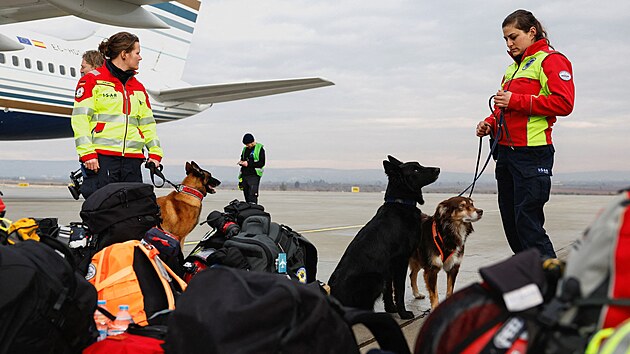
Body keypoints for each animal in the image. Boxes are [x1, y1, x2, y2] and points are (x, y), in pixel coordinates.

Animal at [330, 155, 440, 318]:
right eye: (415, 169)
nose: (438, 169)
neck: (401, 203)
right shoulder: (400, 260)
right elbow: (399, 290)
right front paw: (403, 313)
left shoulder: (388, 266)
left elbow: (388, 290)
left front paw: (391, 308)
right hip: (374, 278)